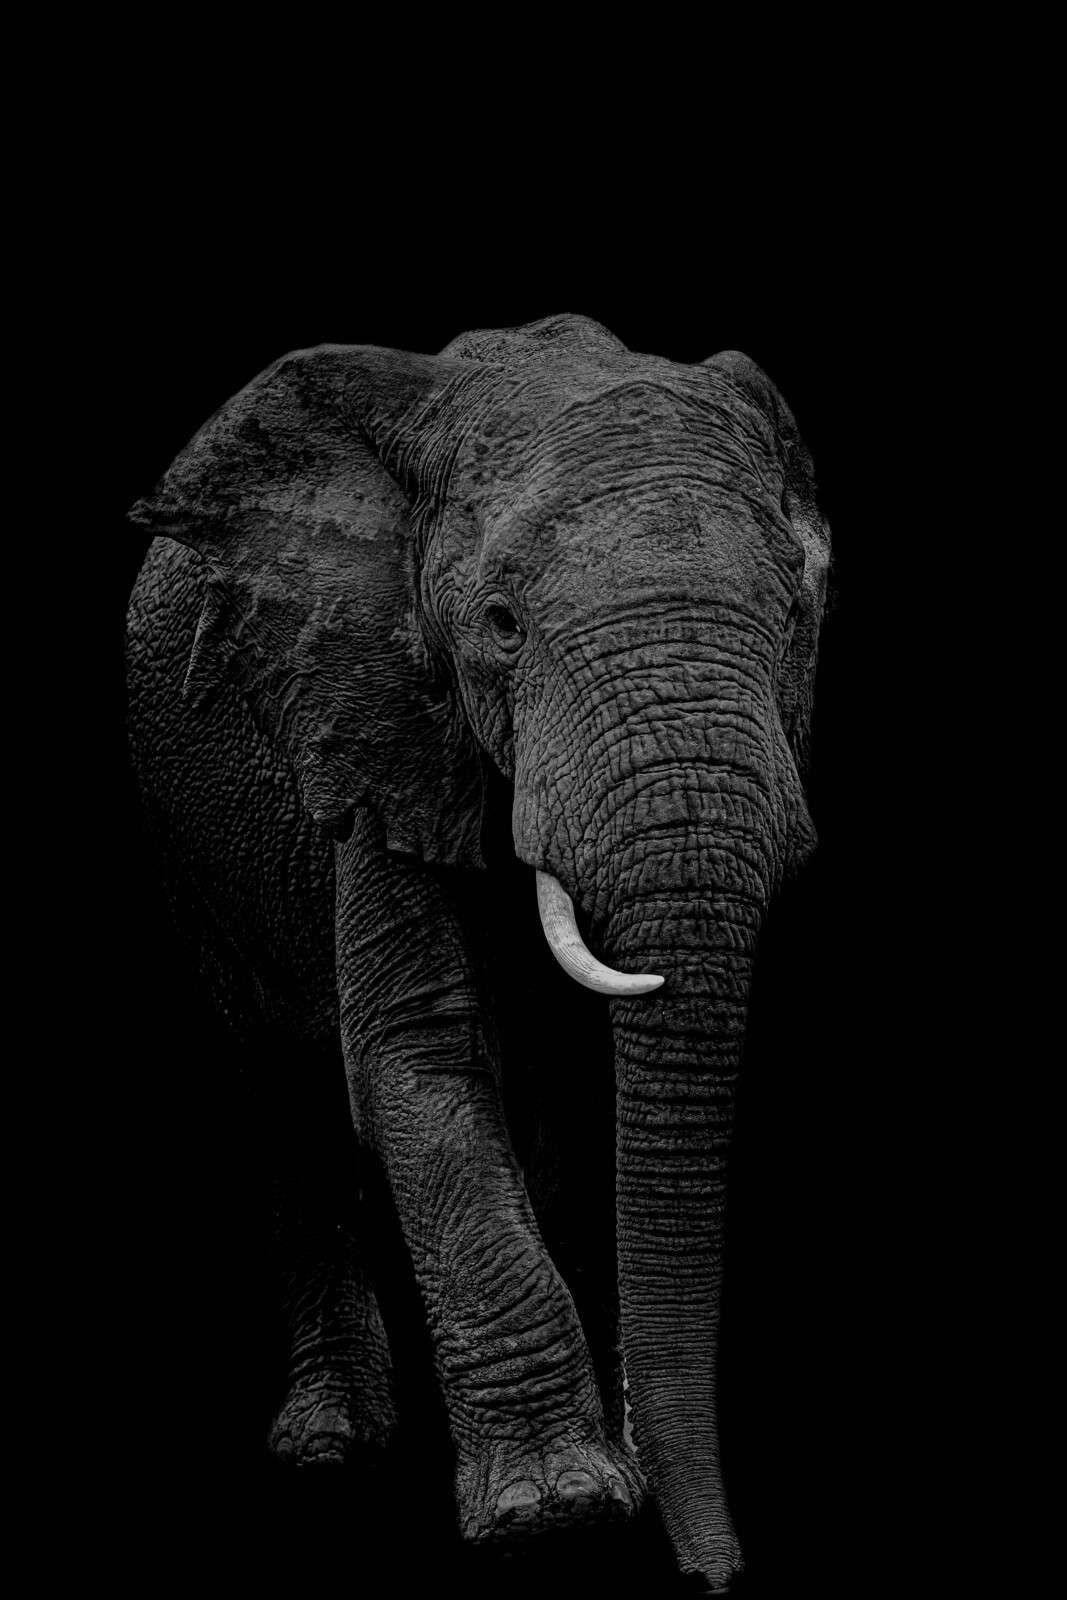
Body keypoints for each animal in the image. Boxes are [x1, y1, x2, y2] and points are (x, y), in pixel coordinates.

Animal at [125, 312, 831, 1595]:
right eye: (501, 625)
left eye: (796, 617)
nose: (714, 1577)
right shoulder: (371, 716)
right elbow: (416, 1058)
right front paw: (559, 1508)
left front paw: (611, 1477)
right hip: (182, 832)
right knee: (277, 1081)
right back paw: (330, 1441)